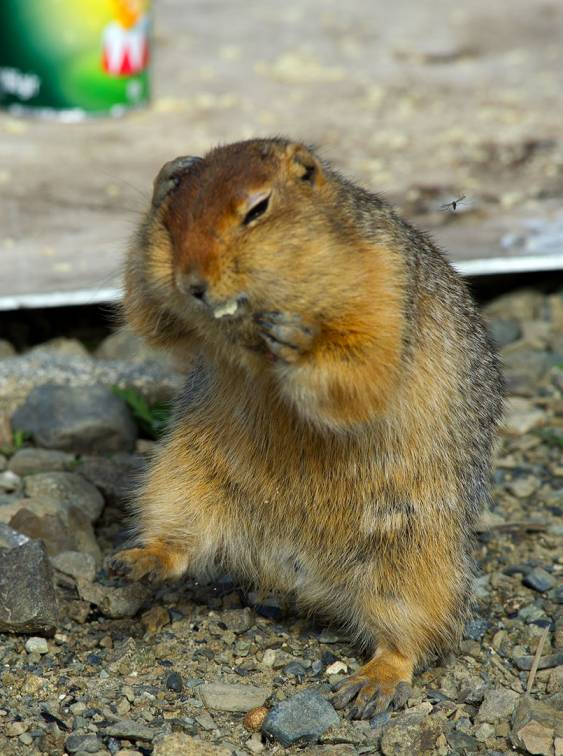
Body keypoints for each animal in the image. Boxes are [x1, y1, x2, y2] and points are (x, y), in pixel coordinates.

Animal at [117, 137, 504, 720]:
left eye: (257, 209)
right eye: (174, 221)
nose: (193, 282)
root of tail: (296, 577)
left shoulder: (382, 282)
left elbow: (365, 363)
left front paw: (298, 341)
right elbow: (152, 315)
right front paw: (167, 176)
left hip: (418, 555)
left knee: (414, 634)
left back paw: (373, 684)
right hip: (177, 477)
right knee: (180, 540)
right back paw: (141, 560)